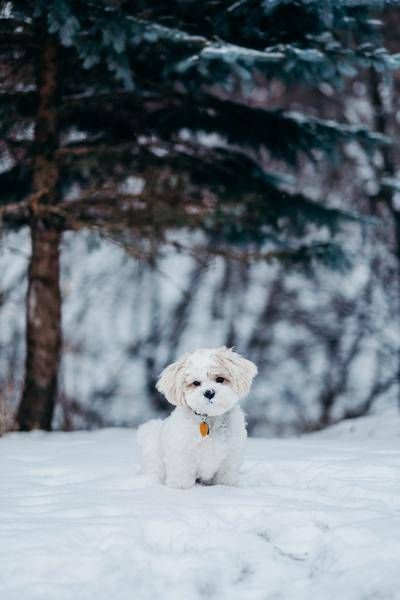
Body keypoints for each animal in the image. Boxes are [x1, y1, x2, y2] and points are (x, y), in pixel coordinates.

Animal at [137, 346, 256, 488]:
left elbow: (225, 478)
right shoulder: (182, 455)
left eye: (220, 379)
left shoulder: (230, 457)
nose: (209, 392)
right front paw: (180, 488)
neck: (208, 418)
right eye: (196, 383)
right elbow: (182, 476)